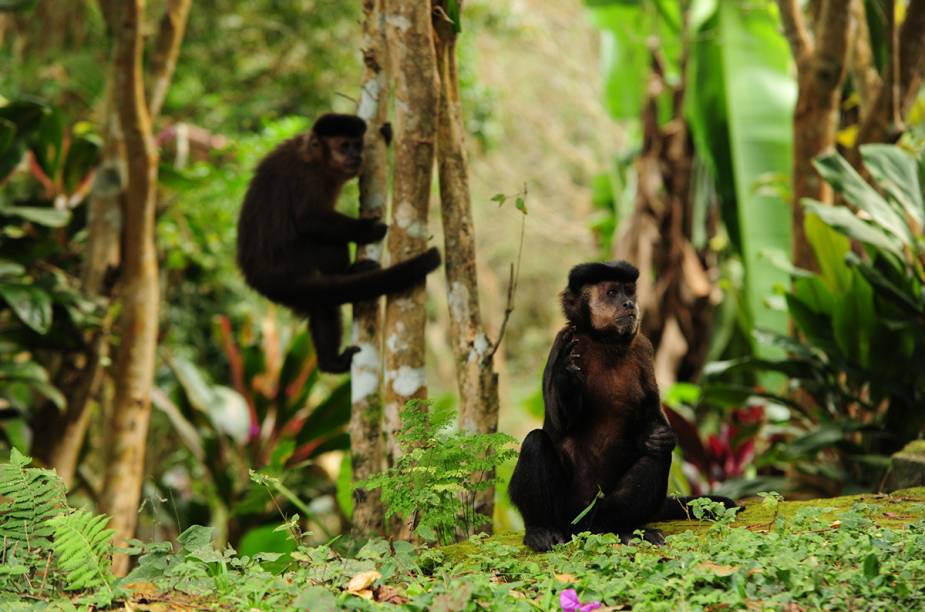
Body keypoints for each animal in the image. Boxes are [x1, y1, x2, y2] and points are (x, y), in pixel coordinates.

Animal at [236, 114, 442, 372]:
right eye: (344, 146)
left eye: (357, 144)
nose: (355, 155)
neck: (315, 157)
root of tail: (258, 276)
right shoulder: (308, 176)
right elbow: (308, 219)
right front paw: (367, 230)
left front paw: (385, 136)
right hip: (295, 259)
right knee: (330, 250)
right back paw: (349, 273)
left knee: (319, 302)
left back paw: (329, 363)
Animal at [508, 260, 732, 552]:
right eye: (612, 292)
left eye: (629, 291)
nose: (628, 303)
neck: (604, 341)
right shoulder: (562, 341)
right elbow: (559, 422)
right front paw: (567, 374)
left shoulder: (643, 347)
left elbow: (653, 417)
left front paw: (655, 435)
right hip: (568, 511)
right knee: (536, 441)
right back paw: (540, 529)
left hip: (599, 507)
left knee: (658, 452)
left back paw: (618, 528)